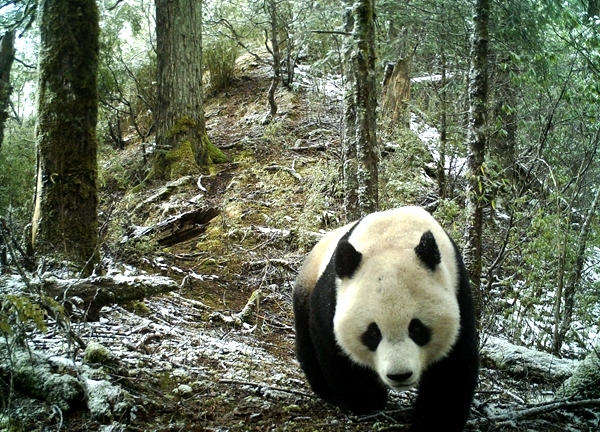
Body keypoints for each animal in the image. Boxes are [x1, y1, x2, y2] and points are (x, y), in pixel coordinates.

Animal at [293, 207, 478, 432]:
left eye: (417, 329)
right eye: (373, 333)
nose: (400, 375)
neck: (394, 238)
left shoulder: (458, 290)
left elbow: (452, 367)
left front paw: (433, 422)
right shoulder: (331, 296)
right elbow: (337, 350)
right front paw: (366, 401)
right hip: (307, 285)